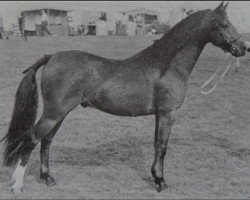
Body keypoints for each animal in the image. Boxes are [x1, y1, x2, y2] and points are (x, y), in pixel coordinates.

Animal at [1, 1, 246, 193]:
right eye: (224, 24)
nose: (243, 47)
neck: (166, 64)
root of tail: (52, 57)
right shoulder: (168, 113)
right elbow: (163, 146)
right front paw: (161, 182)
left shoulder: (160, 114)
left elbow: (156, 144)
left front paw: (155, 176)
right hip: (54, 113)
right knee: (32, 138)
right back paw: (17, 185)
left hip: (58, 114)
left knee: (46, 141)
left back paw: (47, 178)